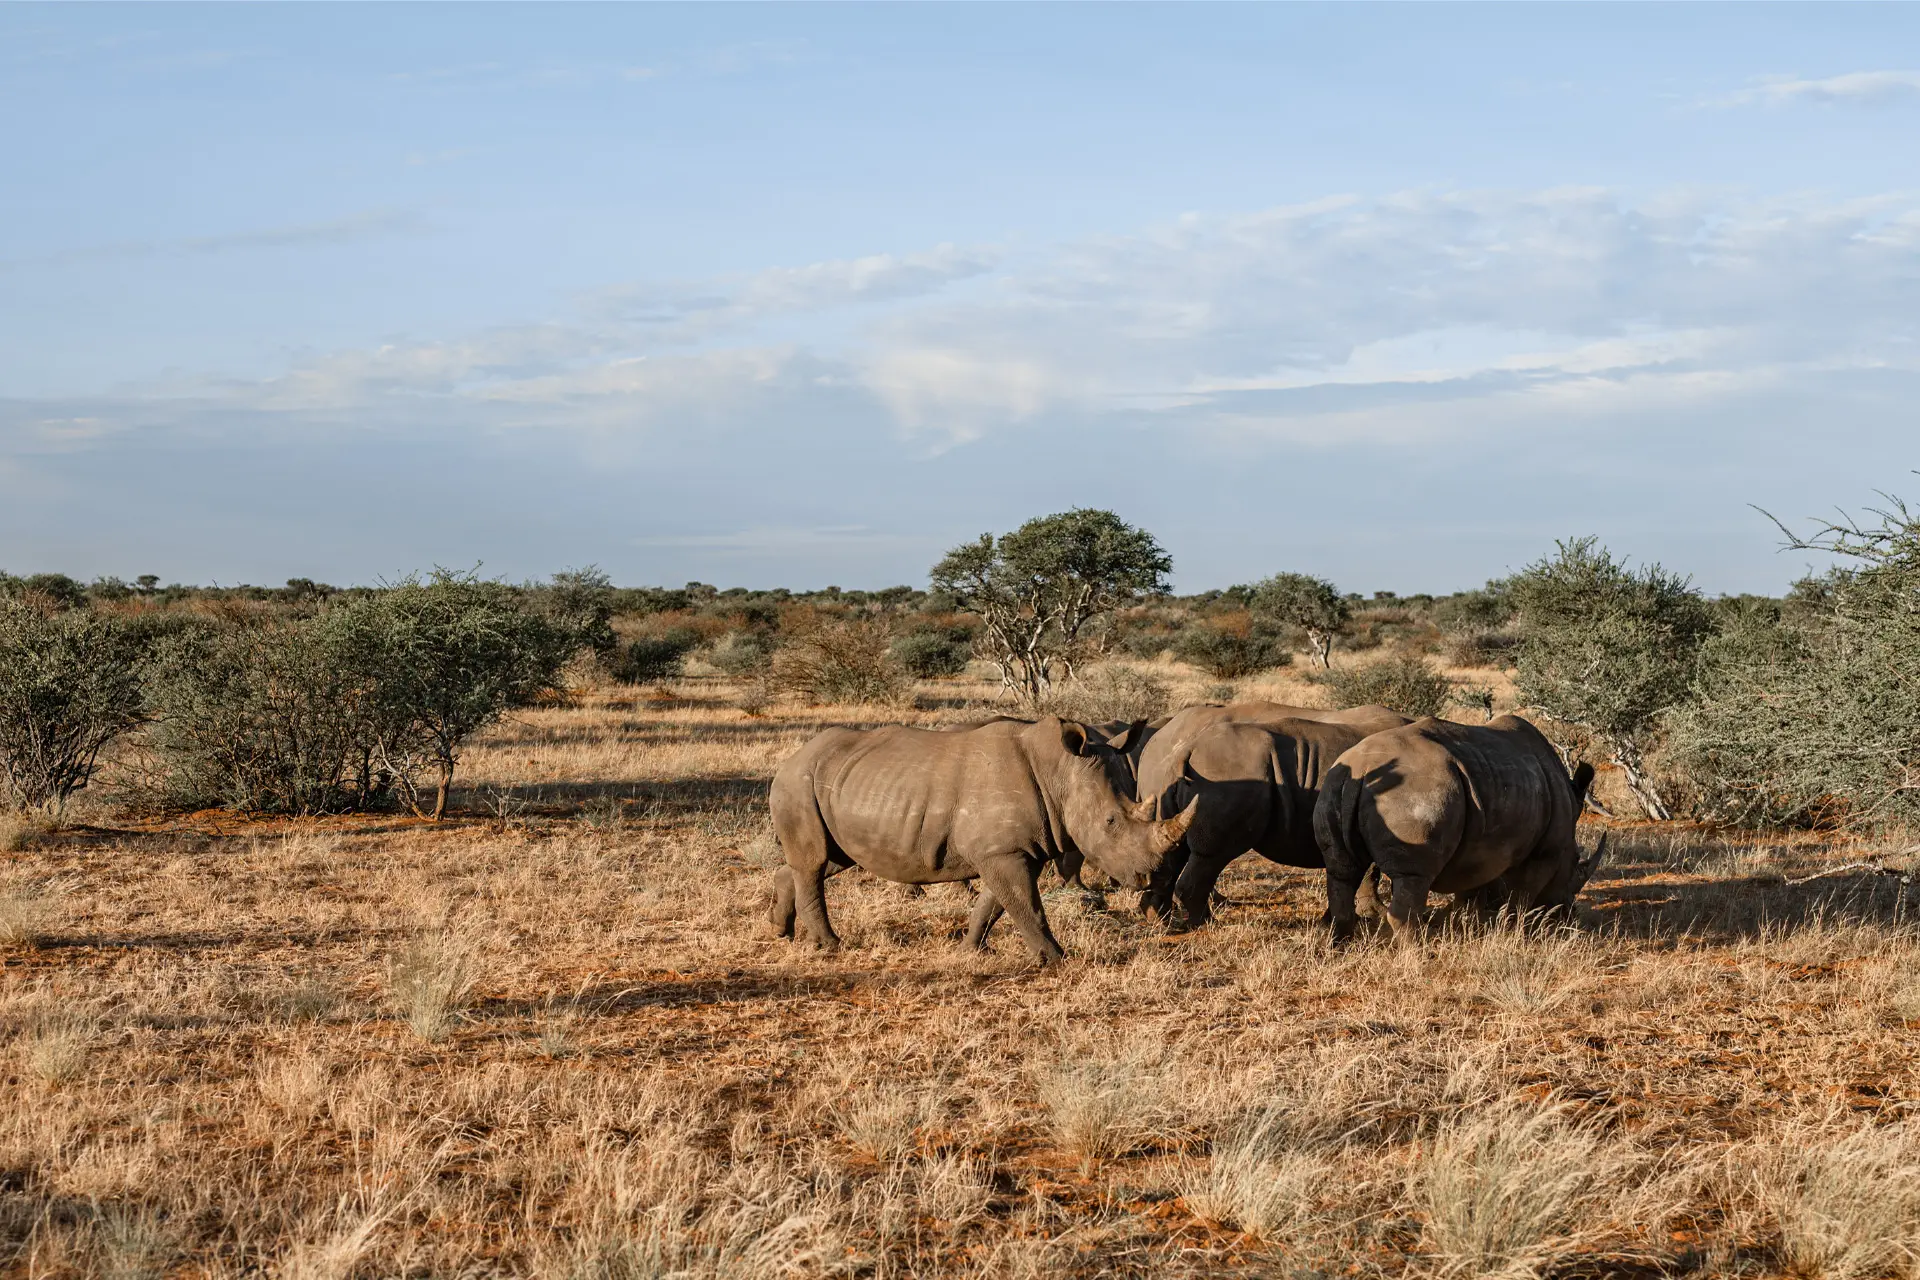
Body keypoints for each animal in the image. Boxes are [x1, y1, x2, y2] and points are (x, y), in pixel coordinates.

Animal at [767, 716, 1194, 964]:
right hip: (798, 783)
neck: (1060, 771)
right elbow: (1027, 906)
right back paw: (829, 947)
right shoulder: (1004, 852)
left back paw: (782, 931)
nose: (1150, 877)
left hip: (831, 784)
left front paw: (973, 949)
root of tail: (790, 758)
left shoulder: (1011, 850)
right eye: (1110, 822)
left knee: (827, 860)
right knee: (815, 862)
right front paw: (1057, 959)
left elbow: (996, 905)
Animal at [1313, 715, 1602, 942]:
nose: (1569, 914)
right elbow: (1522, 895)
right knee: (1413, 876)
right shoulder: (1544, 852)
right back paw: (1417, 953)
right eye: (1576, 865)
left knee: (1342, 871)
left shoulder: (1481, 848)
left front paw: (1466, 923)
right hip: (1414, 793)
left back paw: (1340, 944)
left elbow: (1472, 886)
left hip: (1335, 785)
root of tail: (1361, 770)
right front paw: (1516, 930)